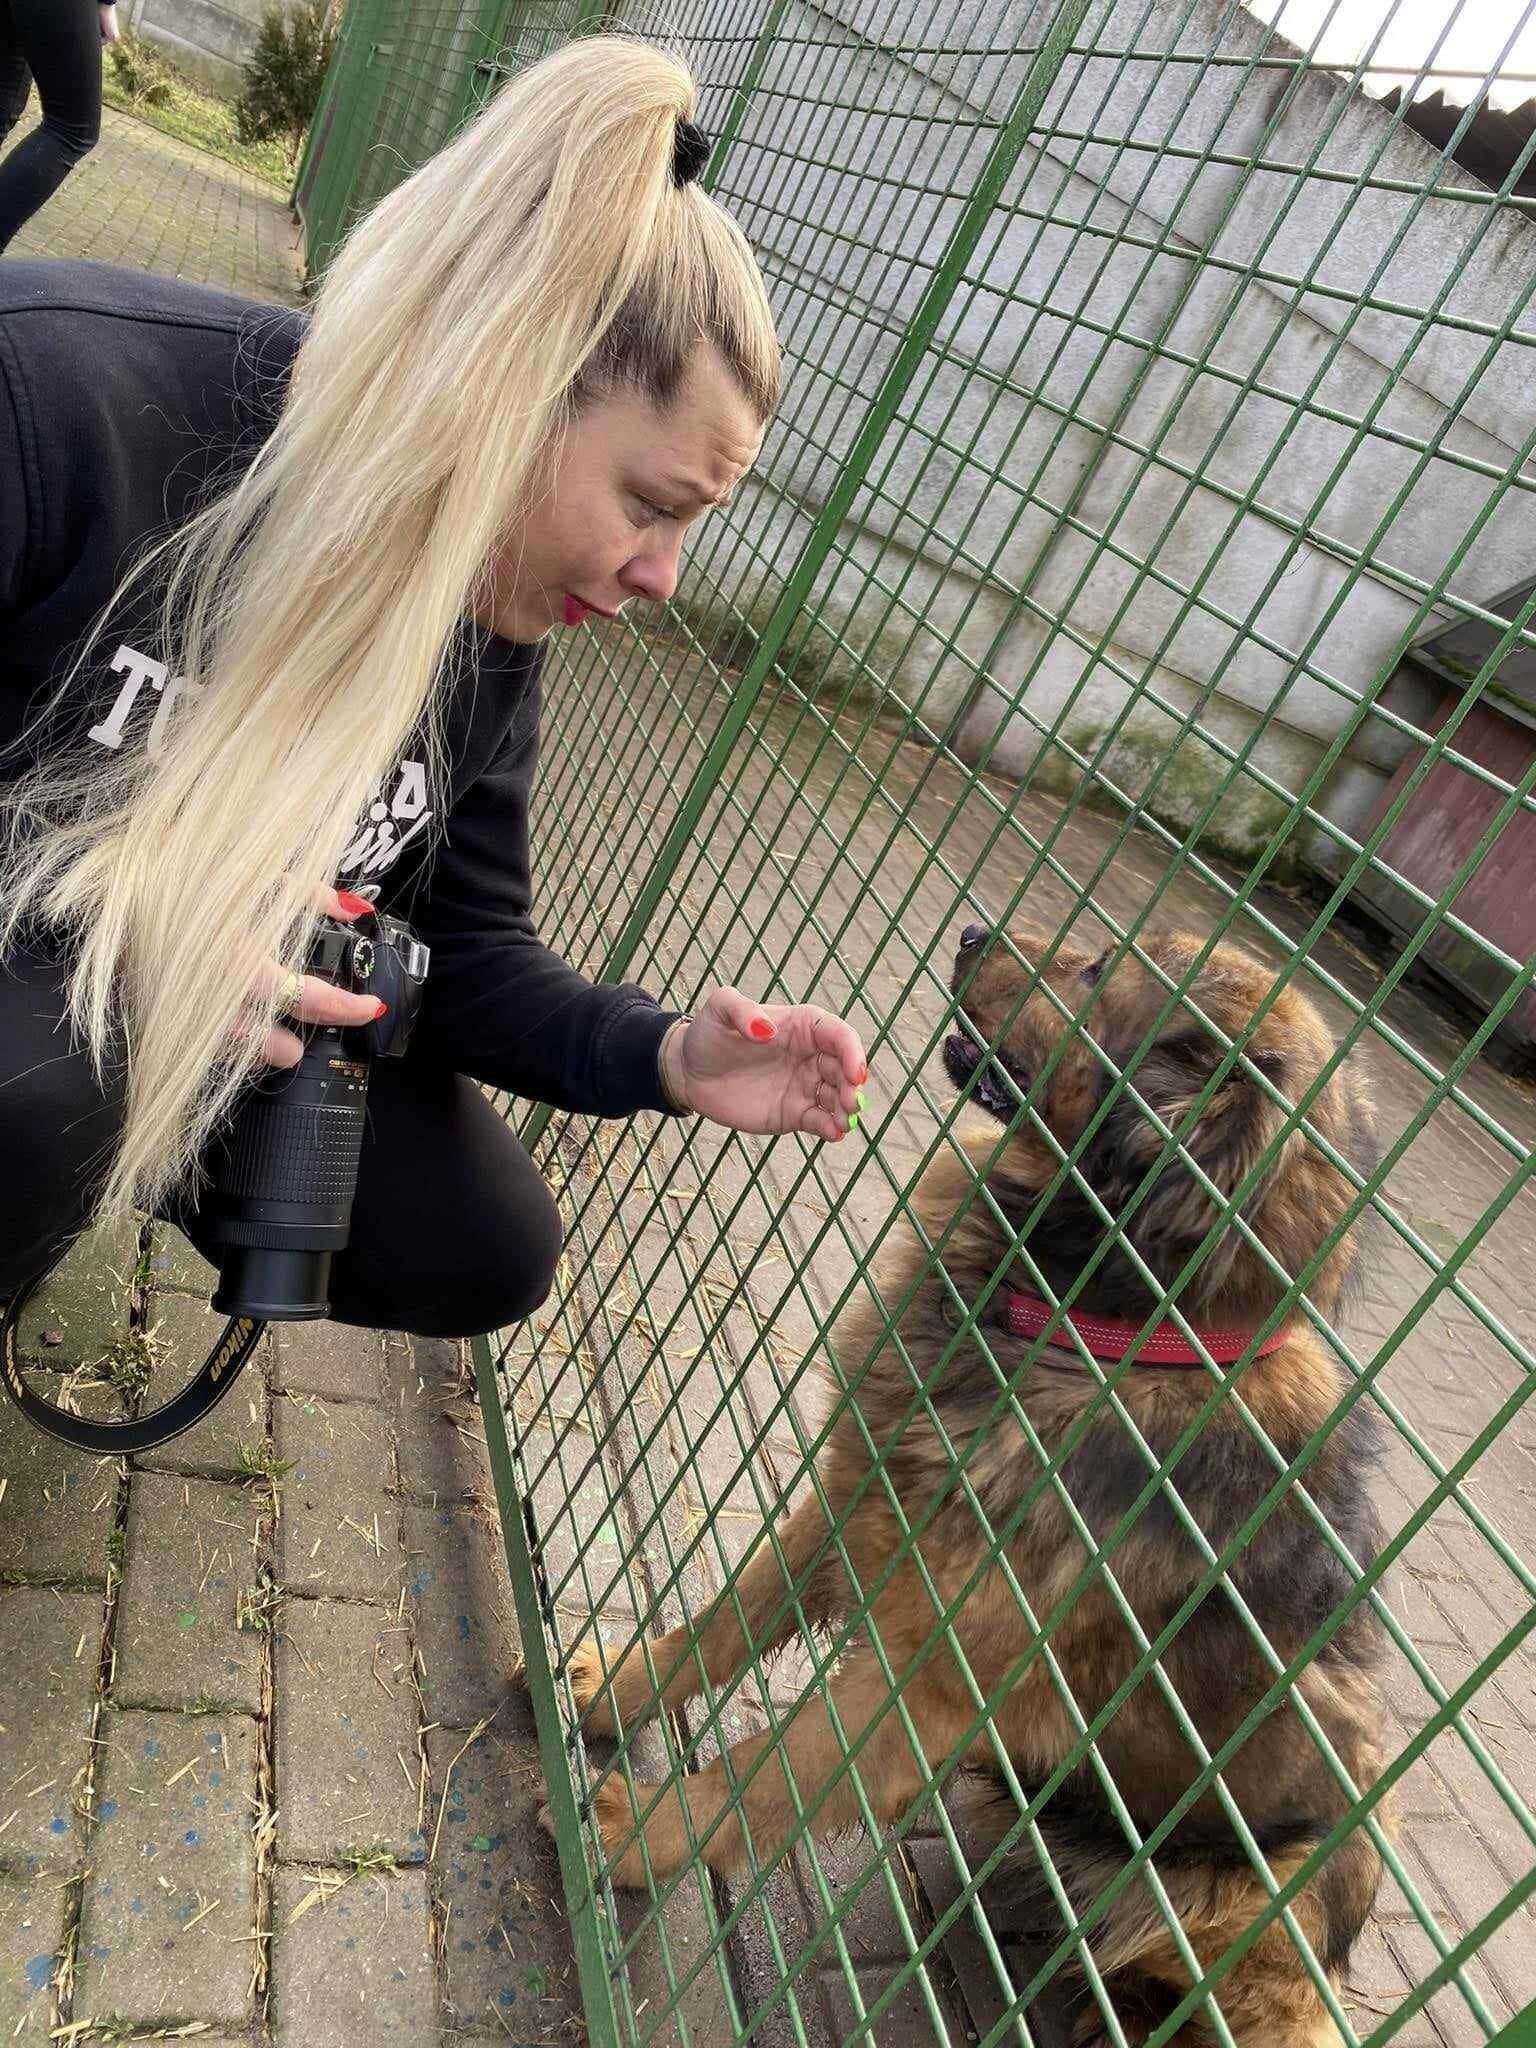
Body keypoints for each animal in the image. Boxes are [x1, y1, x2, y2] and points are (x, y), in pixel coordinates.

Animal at [565, 933, 1392, 2048]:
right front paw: (616, 1685)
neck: (1109, 1335)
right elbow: (723, 1620)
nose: (968, 935)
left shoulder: (928, 1685)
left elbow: (770, 1765)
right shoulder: (858, 1499)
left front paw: (639, 1833)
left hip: (1262, 1909)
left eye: (1099, 977)